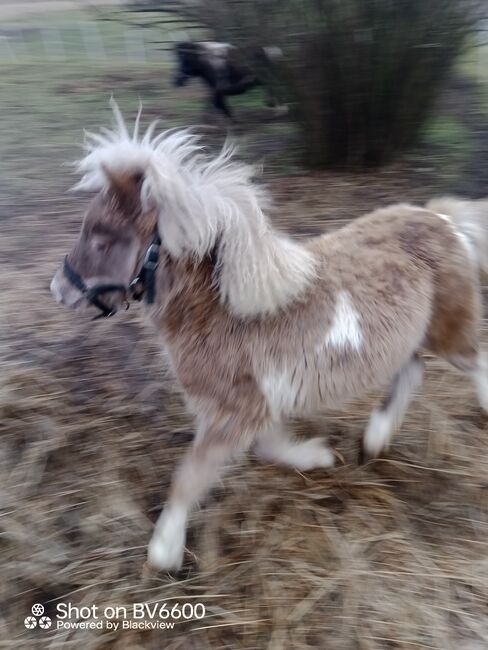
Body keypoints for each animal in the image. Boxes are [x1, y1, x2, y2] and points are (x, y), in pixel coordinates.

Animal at [50, 101, 488, 568]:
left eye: (102, 239)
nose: (58, 289)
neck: (222, 311)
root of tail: (443, 219)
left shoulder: (235, 412)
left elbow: (191, 474)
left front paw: (164, 551)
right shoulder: (257, 406)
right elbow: (268, 447)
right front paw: (316, 457)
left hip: (449, 330)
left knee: (472, 359)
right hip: (409, 338)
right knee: (412, 371)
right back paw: (375, 439)